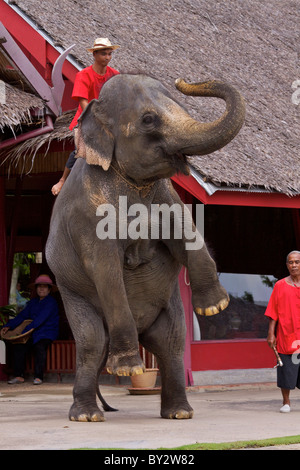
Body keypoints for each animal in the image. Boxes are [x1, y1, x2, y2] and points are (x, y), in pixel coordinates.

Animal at [45, 73, 245, 422]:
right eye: (148, 119)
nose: (182, 80)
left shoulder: (168, 195)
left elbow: (185, 230)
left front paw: (215, 306)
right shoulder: (87, 215)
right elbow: (106, 269)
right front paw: (127, 369)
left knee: (171, 343)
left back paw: (179, 413)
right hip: (72, 294)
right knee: (91, 343)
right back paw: (88, 415)